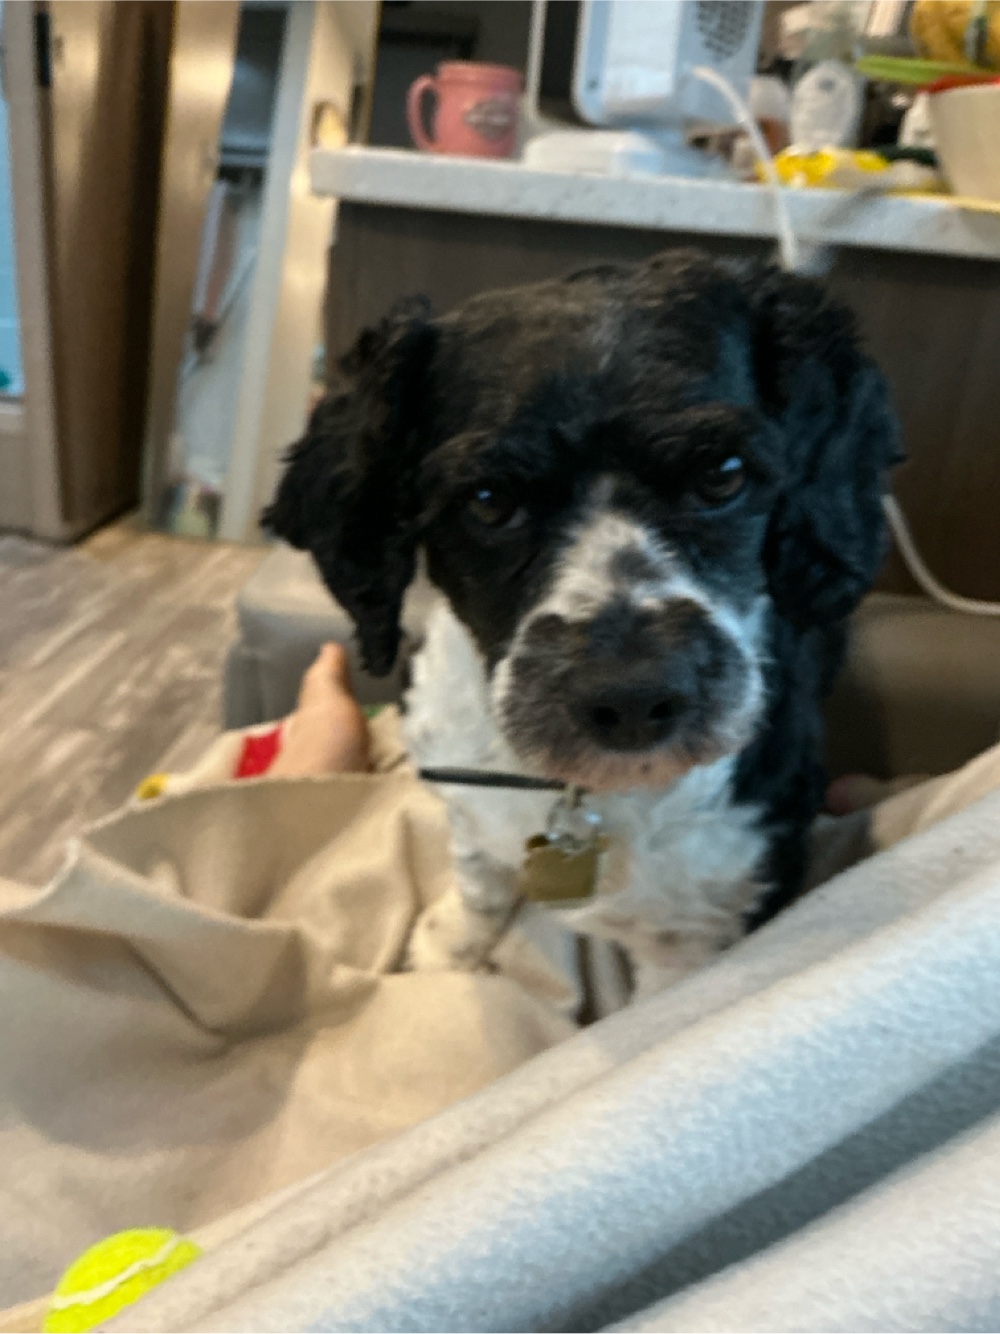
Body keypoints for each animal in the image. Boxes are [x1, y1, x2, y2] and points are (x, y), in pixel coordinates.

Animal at [265, 249, 901, 997]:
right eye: (487, 500)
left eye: (723, 471)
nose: (632, 699)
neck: (587, 794)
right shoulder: (468, 801)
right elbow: (480, 879)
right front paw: (454, 947)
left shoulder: (706, 921)